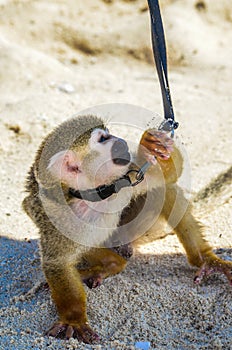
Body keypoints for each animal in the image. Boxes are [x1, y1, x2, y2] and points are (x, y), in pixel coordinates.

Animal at [23, 114, 232, 342]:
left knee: (164, 190)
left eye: (108, 133)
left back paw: (204, 259)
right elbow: (57, 262)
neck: (97, 194)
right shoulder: (59, 218)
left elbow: (168, 177)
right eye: (103, 139)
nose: (120, 140)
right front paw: (74, 319)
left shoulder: (126, 179)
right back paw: (110, 264)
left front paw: (152, 145)